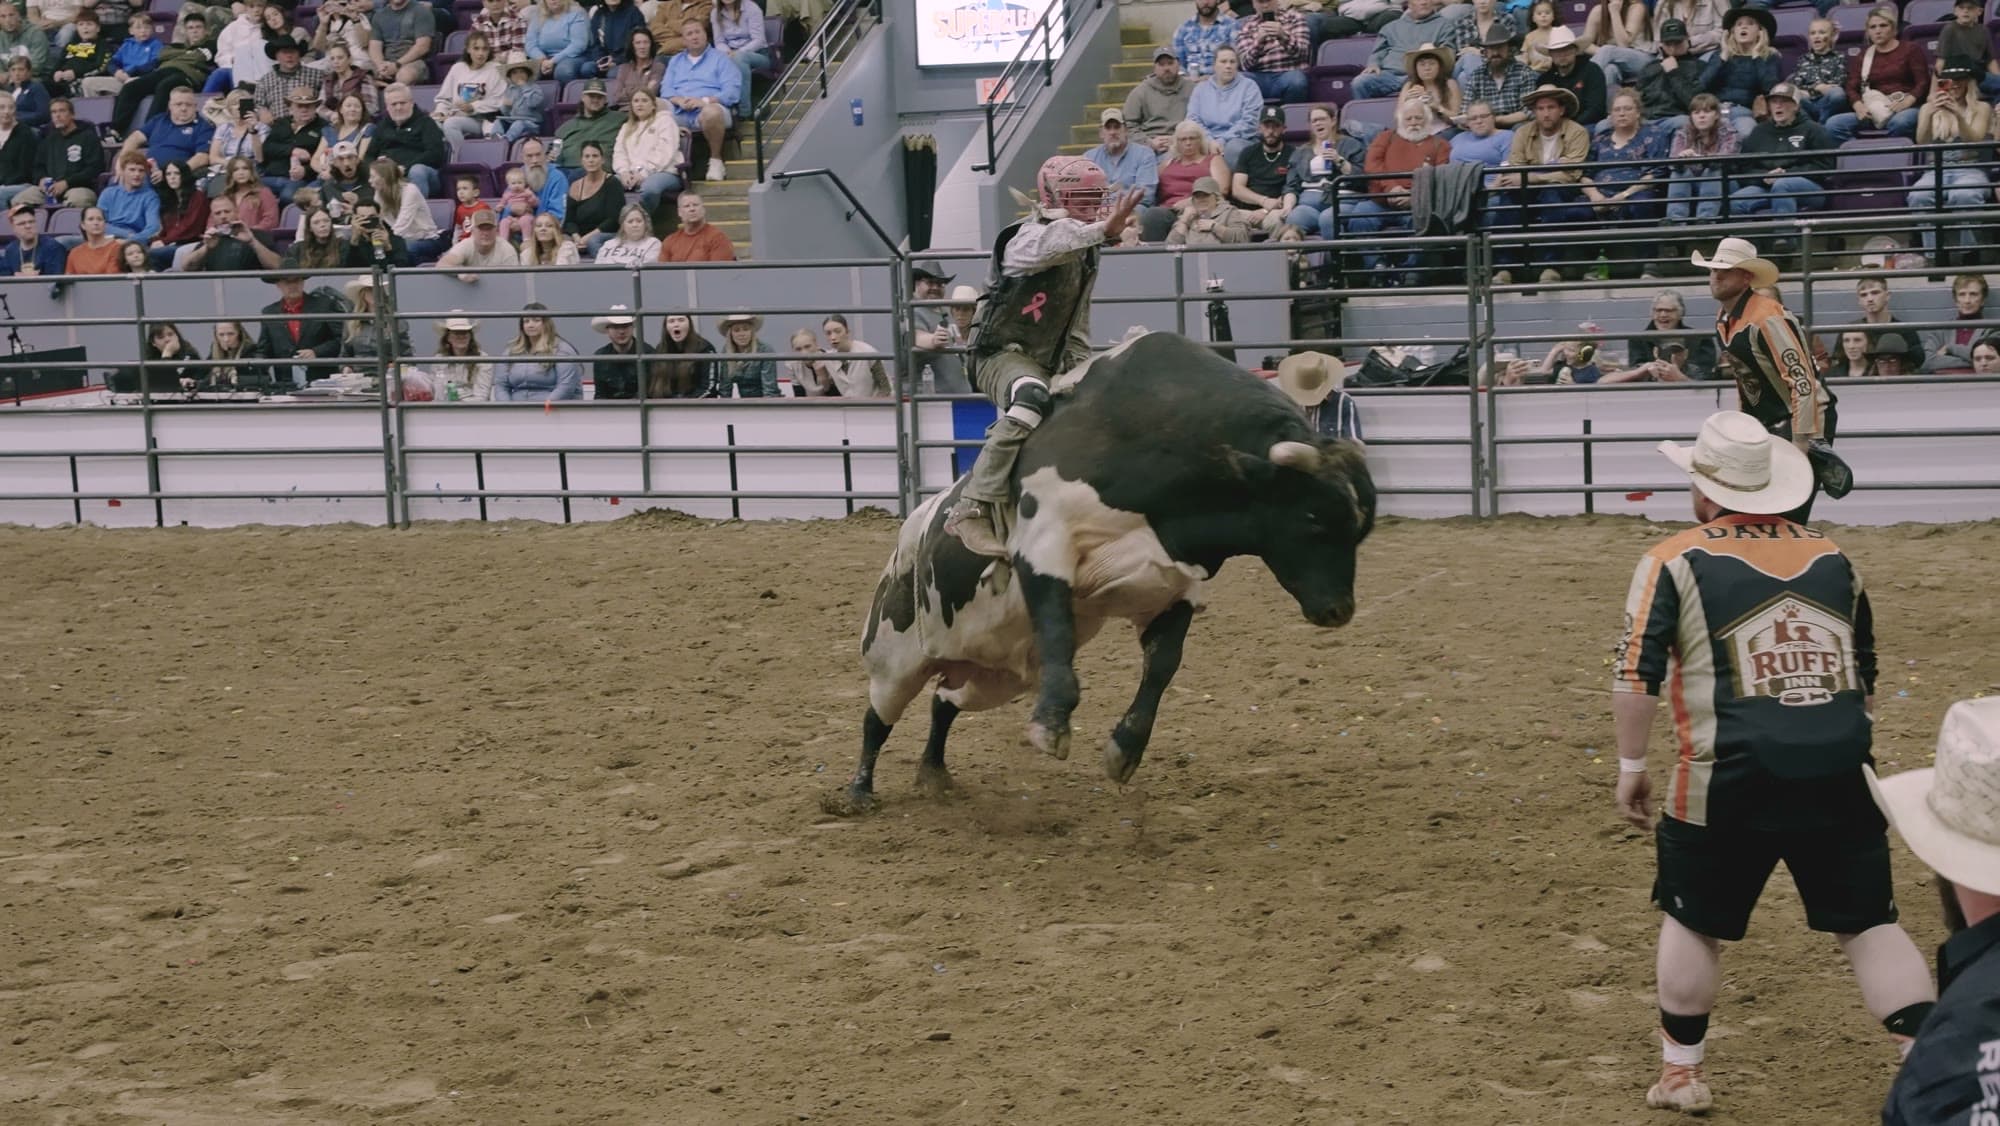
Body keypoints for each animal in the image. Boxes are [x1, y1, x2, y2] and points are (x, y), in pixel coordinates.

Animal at [827, 331, 1376, 815]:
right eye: (1313, 518)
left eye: (1361, 528)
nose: (1339, 611)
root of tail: (911, 532)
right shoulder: (1045, 545)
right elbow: (1058, 633)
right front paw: (1051, 728)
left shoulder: (1171, 584)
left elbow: (1162, 666)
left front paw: (1124, 752)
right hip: (893, 658)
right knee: (877, 720)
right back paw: (857, 794)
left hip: (992, 674)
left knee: (944, 701)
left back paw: (935, 774)